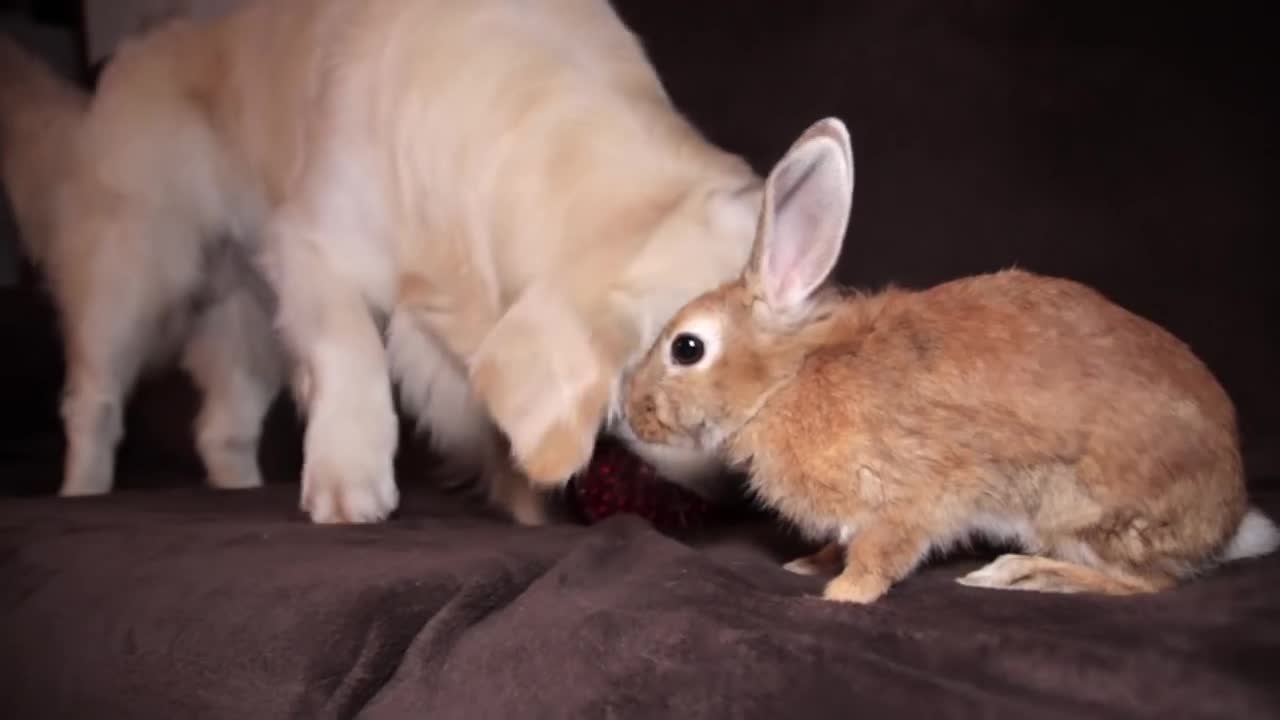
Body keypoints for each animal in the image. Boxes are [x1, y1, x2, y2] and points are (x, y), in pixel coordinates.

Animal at [2, 0, 768, 520]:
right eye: (688, 352)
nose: (748, 489)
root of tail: (120, 60)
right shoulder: (313, 244)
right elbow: (352, 350)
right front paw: (350, 475)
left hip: (250, 317)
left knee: (222, 428)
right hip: (132, 275)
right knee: (93, 401)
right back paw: (82, 493)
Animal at [622, 116, 1280, 599]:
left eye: (687, 348)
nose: (631, 412)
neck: (786, 381)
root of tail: (1226, 521)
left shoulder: (907, 501)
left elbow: (881, 555)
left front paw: (840, 595)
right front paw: (810, 564)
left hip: (1082, 514)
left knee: (1146, 584)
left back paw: (1019, 573)